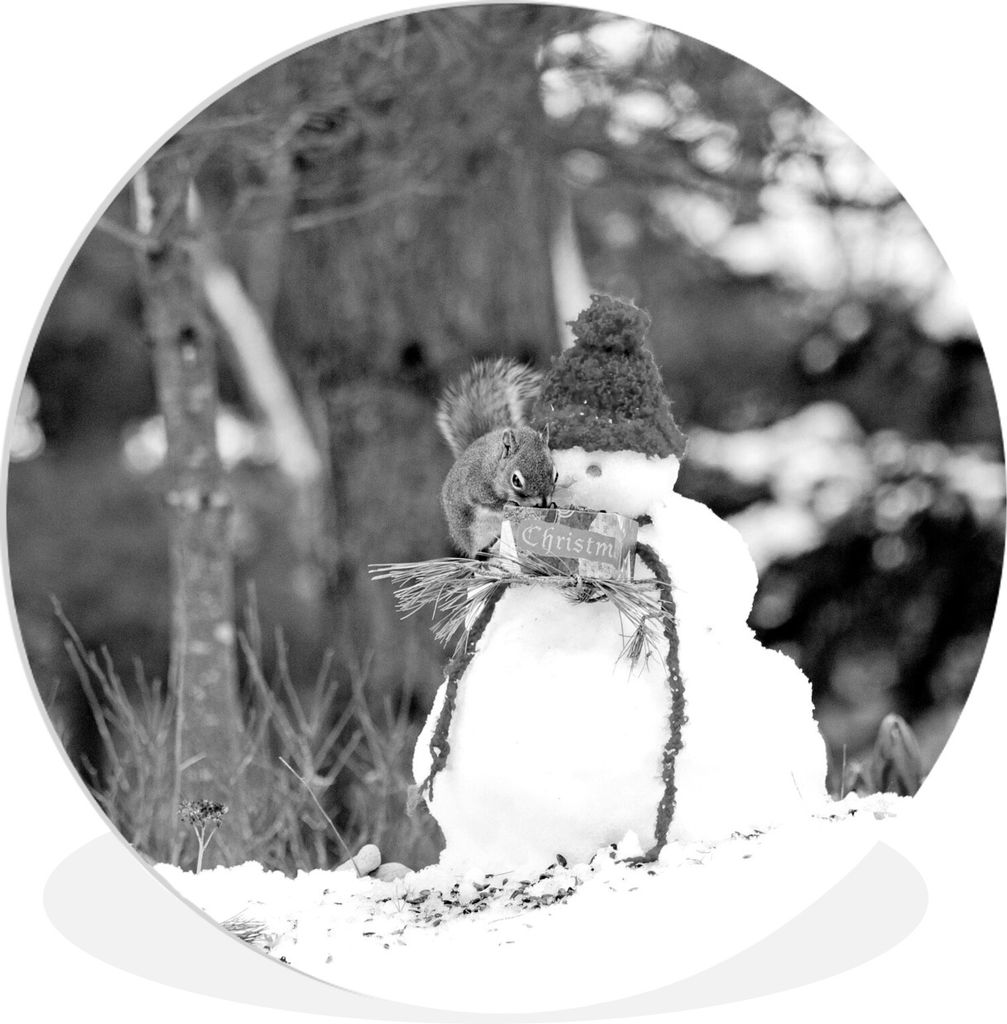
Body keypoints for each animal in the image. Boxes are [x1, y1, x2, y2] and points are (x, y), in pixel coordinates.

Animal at [437, 358, 557, 557]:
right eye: (516, 480)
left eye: (556, 475)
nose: (543, 503)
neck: (495, 467)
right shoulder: (476, 484)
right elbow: (491, 502)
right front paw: (509, 502)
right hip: (472, 533)